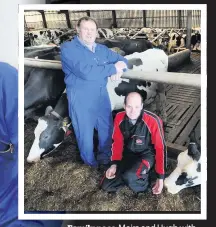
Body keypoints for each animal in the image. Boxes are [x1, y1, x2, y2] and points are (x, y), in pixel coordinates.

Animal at [26, 48, 169, 163]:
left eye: (45, 136)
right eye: (34, 133)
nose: (29, 159)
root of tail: (158, 50)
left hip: (161, 87)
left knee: (162, 100)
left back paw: (164, 119)